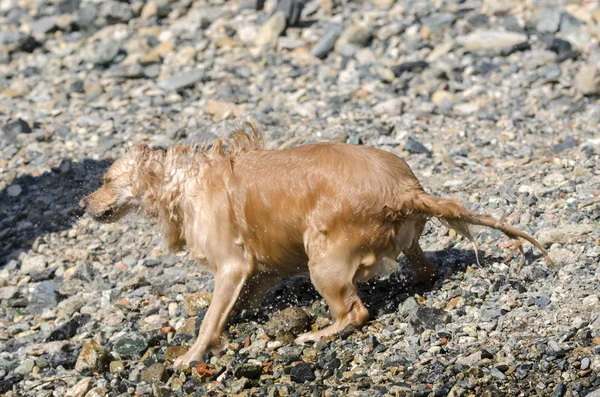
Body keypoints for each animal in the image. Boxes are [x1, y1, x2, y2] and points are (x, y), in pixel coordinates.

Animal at [79, 124, 552, 368]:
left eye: (105, 179)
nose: (82, 203)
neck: (184, 183)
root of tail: (405, 189)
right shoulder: (260, 267)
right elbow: (244, 298)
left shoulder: (232, 264)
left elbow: (212, 319)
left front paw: (191, 355)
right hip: (403, 241)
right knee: (424, 267)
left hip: (323, 258)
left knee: (355, 311)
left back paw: (319, 333)